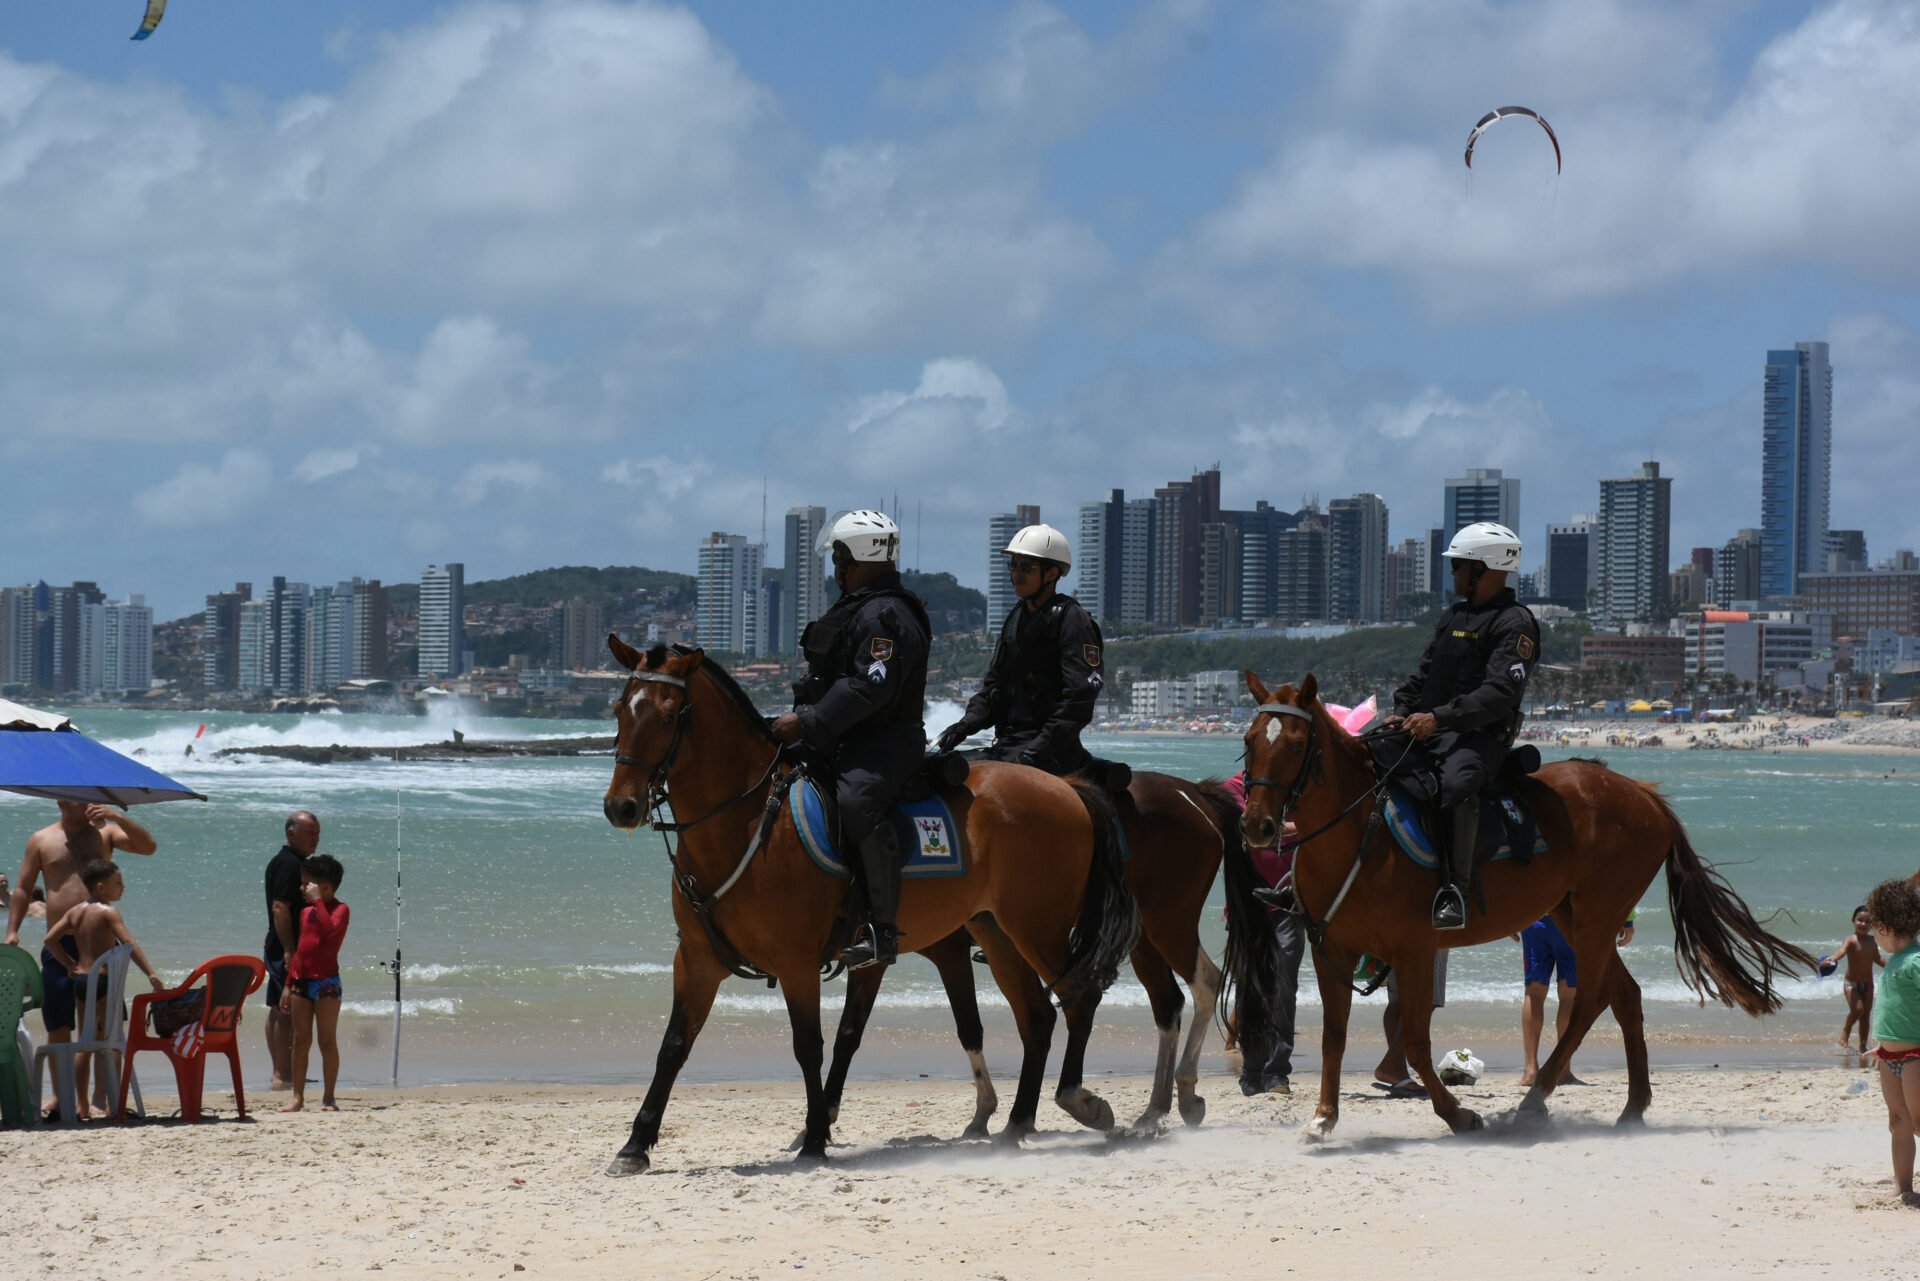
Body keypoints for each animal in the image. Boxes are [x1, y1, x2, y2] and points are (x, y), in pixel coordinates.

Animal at [599, 641, 1136, 1175]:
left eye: (670, 716)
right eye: (620, 710)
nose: (621, 807)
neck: (748, 823)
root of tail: (1066, 786)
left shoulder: (797, 964)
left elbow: (810, 1047)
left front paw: (815, 1138)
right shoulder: (697, 960)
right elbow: (674, 1046)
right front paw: (635, 1144)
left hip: (1038, 928)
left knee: (1079, 996)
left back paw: (1078, 1101)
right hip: (997, 933)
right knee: (1038, 1017)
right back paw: (1016, 1125)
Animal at [817, 775, 1236, 1136]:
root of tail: (1192, 792)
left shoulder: (948, 953)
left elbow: (970, 1027)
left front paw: (987, 1113)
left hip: (1166, 923)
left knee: (1204, 985)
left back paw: (1181, 1091)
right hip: (1143, 939)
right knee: (1168, 1003)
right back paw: (1159, 1107)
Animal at [1221, 676, 1820, 1136]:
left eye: (1296, 743)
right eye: (1250, 739)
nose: (1258, 826)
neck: (1358, 837)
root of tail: (1642, 792)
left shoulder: (1414, 952)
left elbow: (1414, 1039)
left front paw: (1457, 1115)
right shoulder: (1333, 952)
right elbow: (1335, 1035)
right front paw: (1324, 1117)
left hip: (1597, 919)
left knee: (1590, 1001)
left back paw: (1537, 1100)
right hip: (1570, 916)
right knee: (1625, 996)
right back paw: (1632, 1107)